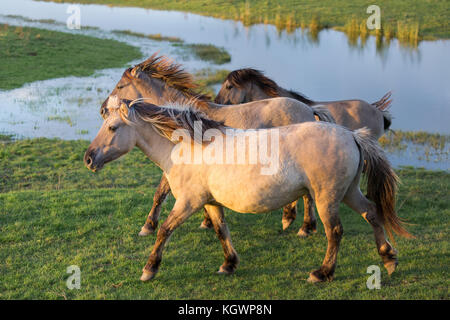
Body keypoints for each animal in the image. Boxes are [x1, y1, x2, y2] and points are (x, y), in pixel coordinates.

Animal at [83, 98, 412, 282]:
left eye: (112, 128)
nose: (88, 158)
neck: (189, 146)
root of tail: (352, 136)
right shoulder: (210, 202)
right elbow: (221, 230)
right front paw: (229, 264)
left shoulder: (188, 202)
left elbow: (164, 230)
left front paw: (149, 269)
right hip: (348, 192)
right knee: (372, 213)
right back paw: (389, 260)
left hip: (326, 198)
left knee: (335, 232)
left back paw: (322, 273)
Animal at [101, 55, 334, 239]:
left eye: (120, 86)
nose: (103, 109)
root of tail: (309, 110)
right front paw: (206, 221)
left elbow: (160, 193)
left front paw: (148, 227)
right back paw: (289, 219)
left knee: (307, 195)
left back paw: (305, 228)